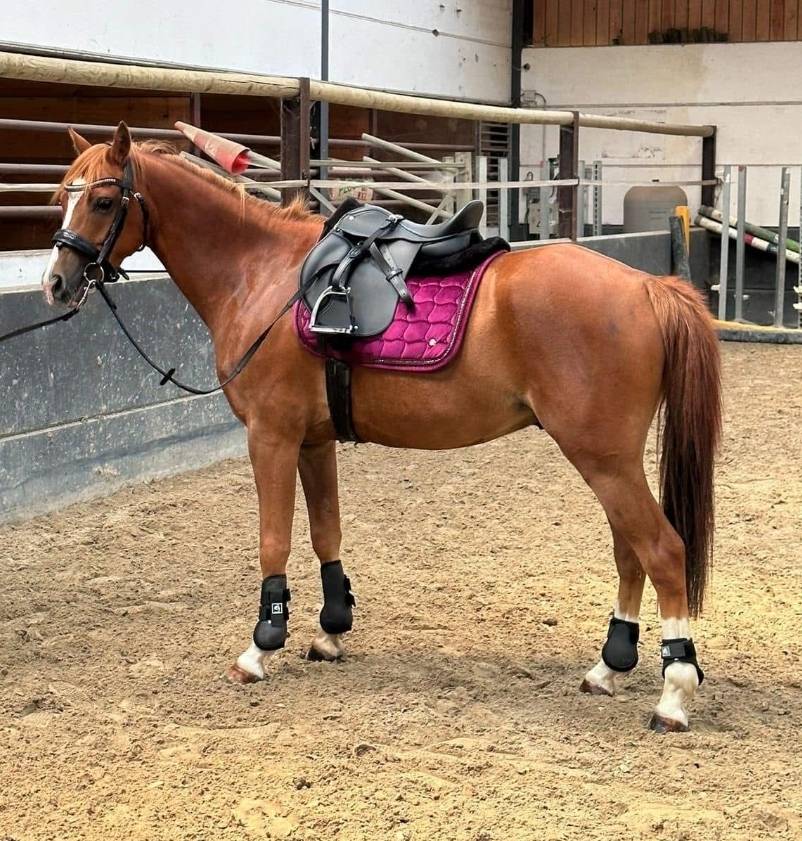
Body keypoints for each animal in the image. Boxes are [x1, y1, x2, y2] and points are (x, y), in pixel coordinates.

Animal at [43, 122, 721, 733]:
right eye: (60, 196)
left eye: (102, 201)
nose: (56, 283)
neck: (265, 276)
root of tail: (648, 287)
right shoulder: (313, 441)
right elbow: (326, 533)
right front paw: (330, 632)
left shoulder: (271, 436)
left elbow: (274, 540)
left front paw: (262, 644)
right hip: (608, 459)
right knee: (630, 551)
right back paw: (609, 667)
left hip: (602, 457)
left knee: (662, 550)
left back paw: (673, 694)